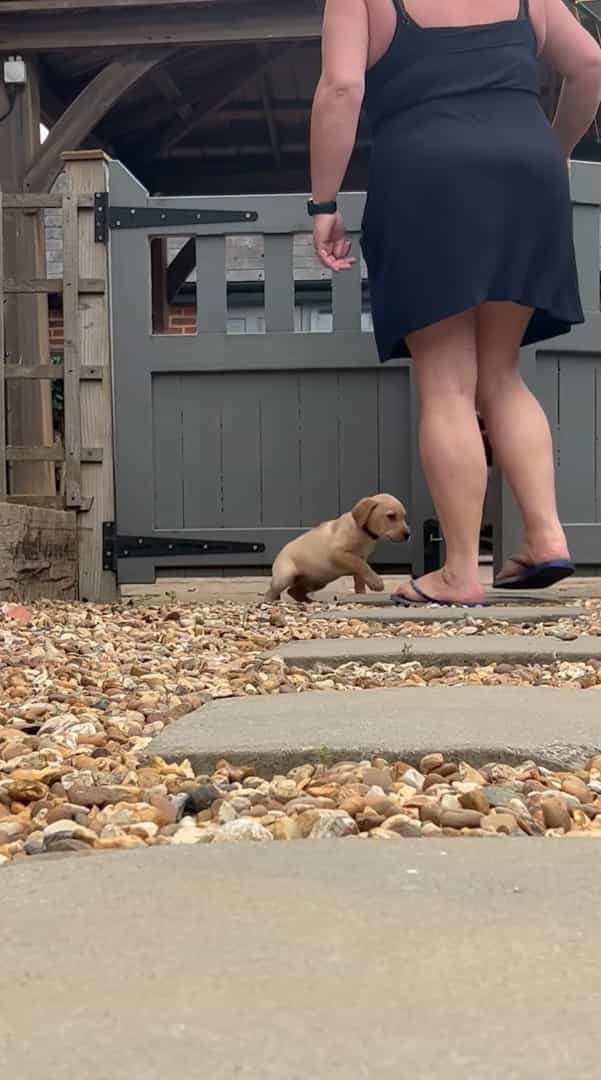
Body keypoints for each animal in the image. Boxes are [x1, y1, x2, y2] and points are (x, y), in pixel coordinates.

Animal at [266, 494, 410, 604]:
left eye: (404, 516)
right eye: (391, 516)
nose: (408, 535)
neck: (362, 530)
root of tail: (279, 554)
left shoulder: (360, 558)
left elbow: (360, 575)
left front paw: (361, 594)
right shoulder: (338, 553)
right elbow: (361, 565)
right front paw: (376, 582)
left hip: (316, 582)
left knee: (293, 591)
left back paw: (309, 601)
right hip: (285, 577)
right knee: (271, 591)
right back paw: (270, 602)